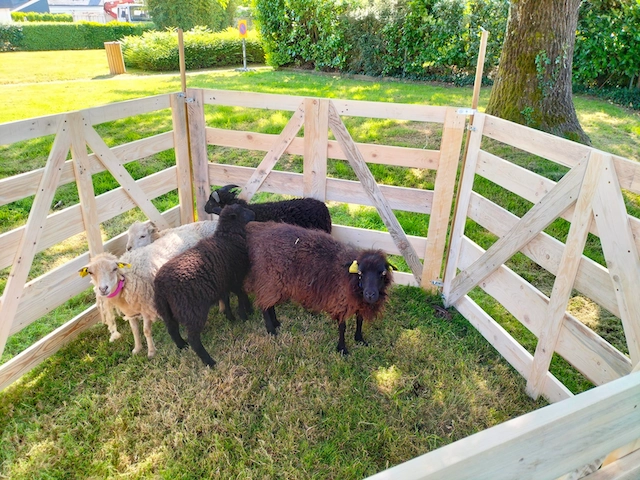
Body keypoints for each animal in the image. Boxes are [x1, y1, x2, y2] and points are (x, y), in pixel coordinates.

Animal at [152, 203, 255, 368]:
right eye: (242, 211)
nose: (253, 213)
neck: (228, 237)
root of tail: (162, 286)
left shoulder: (222, 283)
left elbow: (226, 300)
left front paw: (231, 317)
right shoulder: (236, 278)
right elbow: (242, 296)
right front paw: (246, 314)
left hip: (165, 310)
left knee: (172, 329)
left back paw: (182, 346)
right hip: (193, 310)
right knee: (194, 339)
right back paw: (209, 362)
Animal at [245, 221, 396, 352]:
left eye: (382, 273)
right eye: (360, 273)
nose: (370, 294)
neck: (350, 279)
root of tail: (258, 234)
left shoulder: (359, 303)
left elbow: (360, 321)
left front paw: (359, 339)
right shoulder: (340, 301)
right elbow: (342, 327)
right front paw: (342, 349)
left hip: (274, 283)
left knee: (269, 304)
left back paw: (276, 323)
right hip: (270, 279)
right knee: (264, 306)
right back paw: (271, 331)